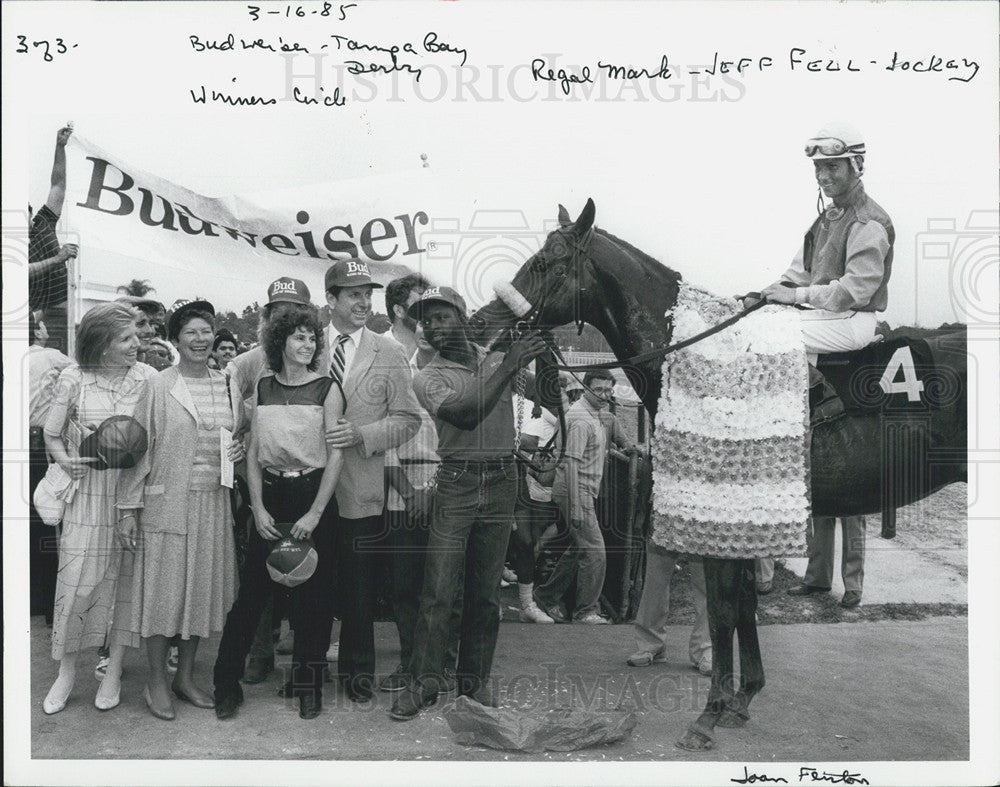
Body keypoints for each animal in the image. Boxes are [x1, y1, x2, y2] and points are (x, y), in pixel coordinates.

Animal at [468, 197, 968, 752]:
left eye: (544, 262)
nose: (480, 321)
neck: (694, 351)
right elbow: (743, 607)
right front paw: (741, 699)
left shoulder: (723, 510)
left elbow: (724, 611)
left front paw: (708, 715)